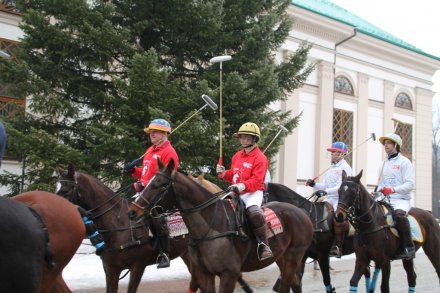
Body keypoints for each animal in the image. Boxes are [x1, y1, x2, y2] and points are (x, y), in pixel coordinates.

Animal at [127, 160, 312, 292]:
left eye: (161, 184)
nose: (133, 211)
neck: (209, 228)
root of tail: (302, 212)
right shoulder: (204, 273)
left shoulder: (228, 274)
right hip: (281, 258)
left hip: (293, 258)